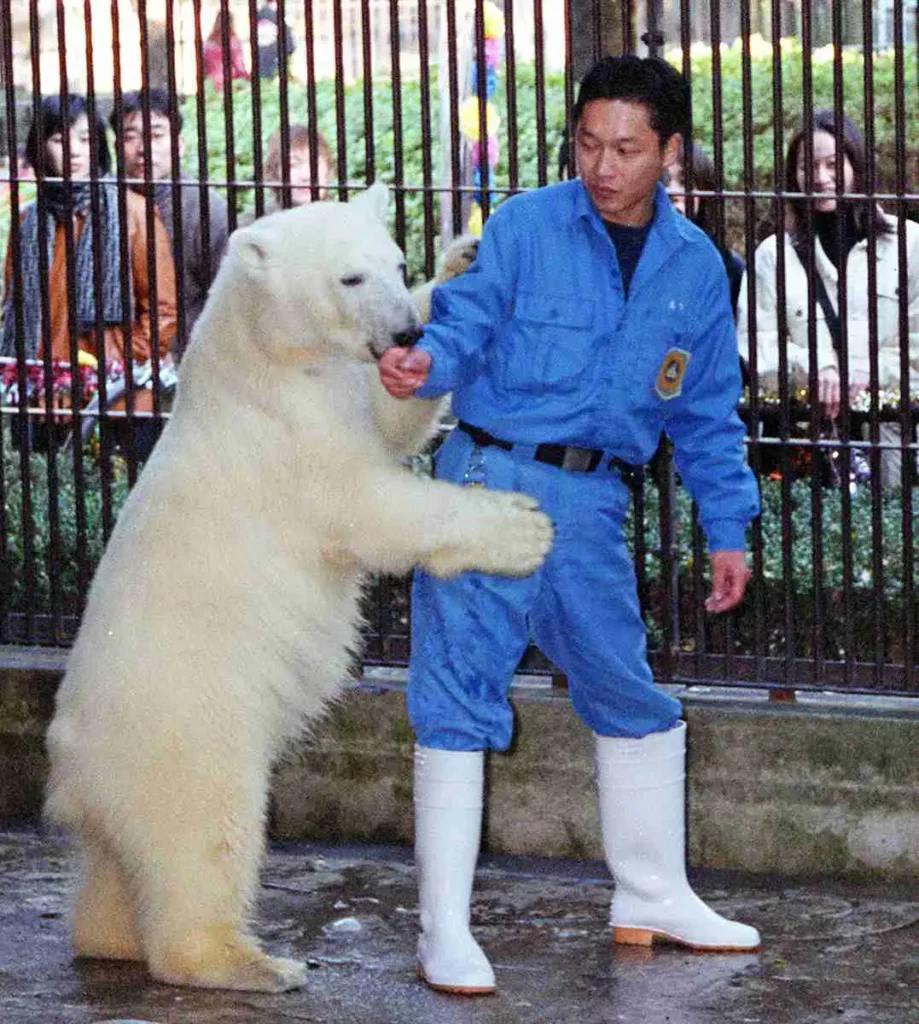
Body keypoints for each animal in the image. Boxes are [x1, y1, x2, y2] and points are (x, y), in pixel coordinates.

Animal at [43, 184, 553, 993]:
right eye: (349, 277)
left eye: (395, 262)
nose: (405, 330)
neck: (264, 360)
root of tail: (72, 768)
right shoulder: (291, 442)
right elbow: (374, 506)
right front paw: (521, 529)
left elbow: (392, 418)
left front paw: (461, 259)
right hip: (188, 730)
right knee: (205, 835)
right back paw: (249, 962)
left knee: (117, 869)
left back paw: (112, 938)